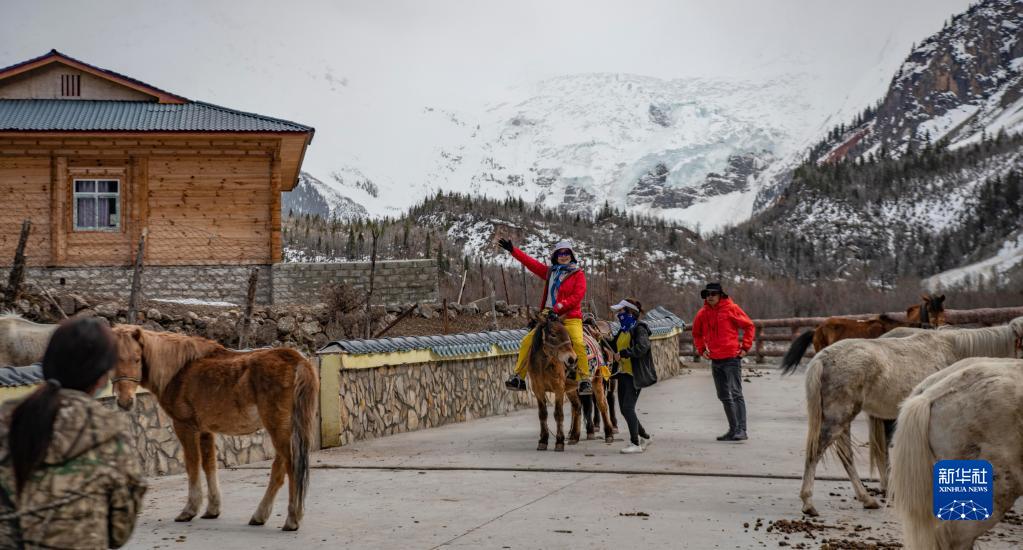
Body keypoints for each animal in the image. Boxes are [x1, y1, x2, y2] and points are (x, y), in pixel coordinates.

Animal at [109, 323, 317, 527]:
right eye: (114, 361)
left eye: (137, 359)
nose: (125, 401)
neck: (179, 371)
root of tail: (298, 361)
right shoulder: (205, 431)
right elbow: (209, 465)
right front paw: (212, 509)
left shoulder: (185, 427)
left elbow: (193, 465)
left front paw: (189, 510)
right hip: (284, 430)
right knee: (279, 470)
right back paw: (260, 515)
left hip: (278, 429)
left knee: (291, 466)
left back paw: (292, 518)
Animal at [789, 316, 1023, 513]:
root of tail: (821, 358)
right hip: (838, 418)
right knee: (817, 452)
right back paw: (808, 502)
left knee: (845, 455)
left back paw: (867, 499)